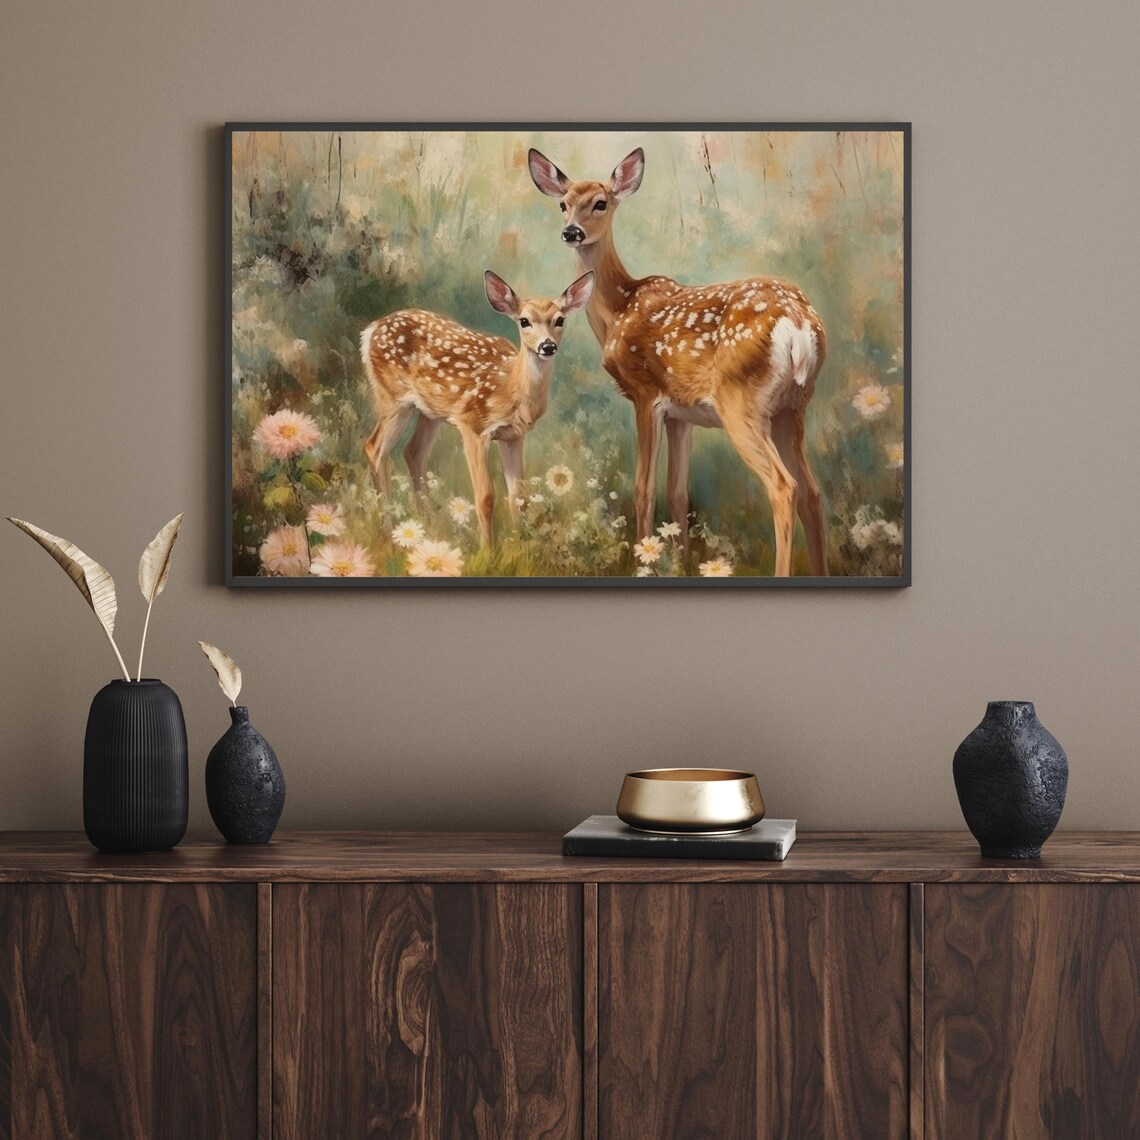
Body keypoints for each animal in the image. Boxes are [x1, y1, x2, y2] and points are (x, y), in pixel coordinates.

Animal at [360, 270, 594, 547]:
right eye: (524, 321)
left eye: (560, 320)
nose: (547, 346)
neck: (510, 388)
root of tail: (371, 329)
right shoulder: (473, 426)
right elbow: (485, 498)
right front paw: (488, 551)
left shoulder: (513, 436)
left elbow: (518, 498)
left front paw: (522, 543)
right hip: (394, 398)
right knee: (374, 448)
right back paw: (387, 531)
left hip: (431, 411)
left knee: (413, 452)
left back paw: (431, 525)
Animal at [529, 147, 829, 577]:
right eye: (562, 204)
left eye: (600, 203)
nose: (572, 232)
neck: (618, 309)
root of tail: (800, 323)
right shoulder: (681, 414)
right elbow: (678, 493)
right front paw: (682, 564)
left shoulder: (645, 395)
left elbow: (644, 488)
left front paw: (642, 561)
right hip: (795, 407)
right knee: (814, 493)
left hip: (743, 403)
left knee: (783, 487)